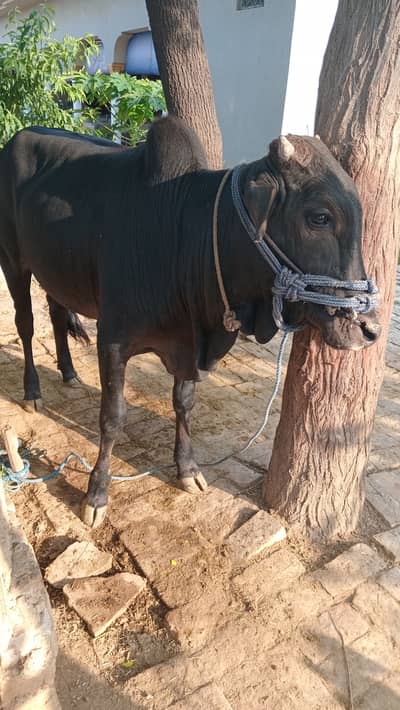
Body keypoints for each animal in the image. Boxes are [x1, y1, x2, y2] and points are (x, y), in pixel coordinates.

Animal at [0, 116, 381, 527]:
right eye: (320, 217)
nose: (369, 329)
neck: (183, 233)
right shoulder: (113, 341)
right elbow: (112, 417)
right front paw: (96, 494)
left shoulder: (189, 340)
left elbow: (183, 403)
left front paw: (187, 469)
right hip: (14, 262)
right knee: (26, 324)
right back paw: (33, 390)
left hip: (55, 272)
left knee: (56, 314)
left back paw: (69, 372)